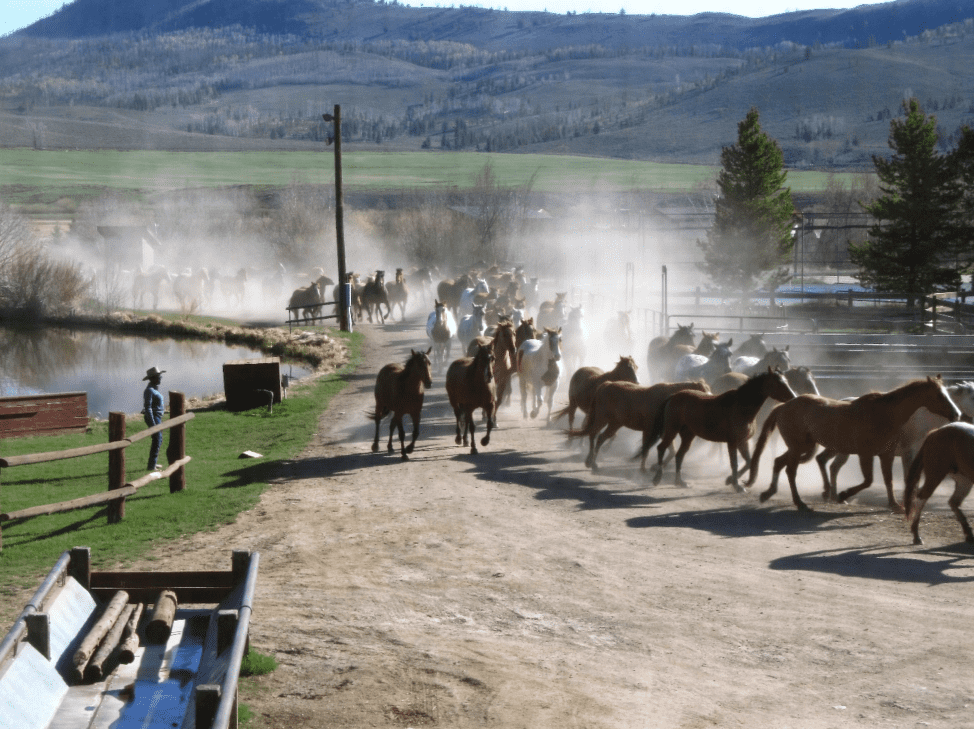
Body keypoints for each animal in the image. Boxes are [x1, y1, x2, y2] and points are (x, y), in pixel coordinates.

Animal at [564, 378, 708, 474]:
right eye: (703, 392)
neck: (666, 398)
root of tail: (606, 384)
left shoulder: (662, 432)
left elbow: (671, 450)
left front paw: (655, 467)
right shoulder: (649, 431)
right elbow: (646, 449)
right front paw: (643, 469)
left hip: (615, 423)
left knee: (601, 438)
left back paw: (593, 463)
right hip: (602, 419)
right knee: (593, 434)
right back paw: (590, 462)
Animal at [644, 370, 796, 490]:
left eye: (786, 381)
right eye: (779, 383)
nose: (793, 397)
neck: (741, 407)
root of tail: (673, 396)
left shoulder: (743, 442)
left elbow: (748, 462)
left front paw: (730, 480)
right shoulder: (733, 443)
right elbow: (734, 463)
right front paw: (737, 485)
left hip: (688, 435)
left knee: (679, 455)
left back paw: (680, 482)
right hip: (672, 430)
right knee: (661, 448)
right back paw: (657, 478)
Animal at [752, 376, 964, 512]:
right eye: (940, 395)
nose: (957, 414)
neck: (884, 414)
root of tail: (783, 406)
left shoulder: (886, 455)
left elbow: (888, 480)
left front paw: (895, 505)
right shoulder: (866, 454)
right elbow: (868, 480)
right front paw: (843, 495)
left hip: (802, 447)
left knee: (780, 462)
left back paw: (769, 493)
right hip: (799, 447)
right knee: (791, 470)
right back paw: (800, 502)